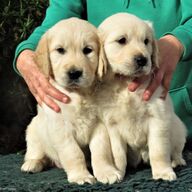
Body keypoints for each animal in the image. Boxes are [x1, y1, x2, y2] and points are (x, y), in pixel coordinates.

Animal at [21, 17, 122, 184]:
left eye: (87, 50)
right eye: (60, 50)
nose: (74, 73)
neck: (79, 94)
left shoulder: (99, 124)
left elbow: (101, 151)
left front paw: (106, 172)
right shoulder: (61, 127)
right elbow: (73, 153)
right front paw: (81, 176)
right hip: (33, 129)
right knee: (36, 151)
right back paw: (32, 163)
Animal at [97, 12, 187, 181]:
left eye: (146, 41)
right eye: (121, 40)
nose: (143, 60)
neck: (126, 83)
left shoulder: (157, 117)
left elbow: (158, 150)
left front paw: (163, 172)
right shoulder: (113, 125)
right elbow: (118, 155)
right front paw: (118, 172)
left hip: (179, 128)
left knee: (177, 149)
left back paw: (176, 161)